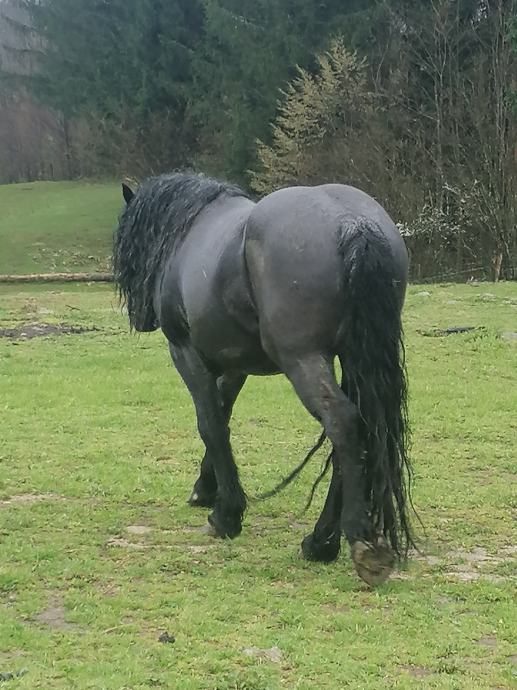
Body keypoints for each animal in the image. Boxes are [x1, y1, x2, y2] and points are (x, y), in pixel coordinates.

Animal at [113, 171, 414, 587]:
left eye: (129, 242)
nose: (141, 317)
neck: (189, 229)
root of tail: (351, 223)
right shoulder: (234, 367)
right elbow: (221, 419)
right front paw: (206, 491)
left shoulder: (187, 355)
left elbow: (209, 425)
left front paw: (226, 516)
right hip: (355, 359)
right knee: (358, 433)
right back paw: (321, 541)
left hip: (304, 360)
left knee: (342, 424)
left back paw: (357, 544)